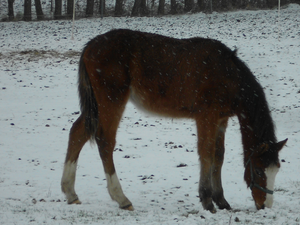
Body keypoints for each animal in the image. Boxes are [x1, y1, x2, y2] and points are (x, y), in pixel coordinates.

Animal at [60, 29, 286, 214]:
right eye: (259, 170)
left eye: (276, 169)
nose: (265, 206)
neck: (228, 75)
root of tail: (91, 45)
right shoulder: (207, 117)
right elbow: (206, 153)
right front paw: (207, 201)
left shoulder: (221, 120)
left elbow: (219, 156)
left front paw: (221, 200)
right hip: (111, 101)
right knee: (105, 141)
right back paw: (122, 198)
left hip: (97, 105)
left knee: (77, 132)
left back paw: (70, 193)